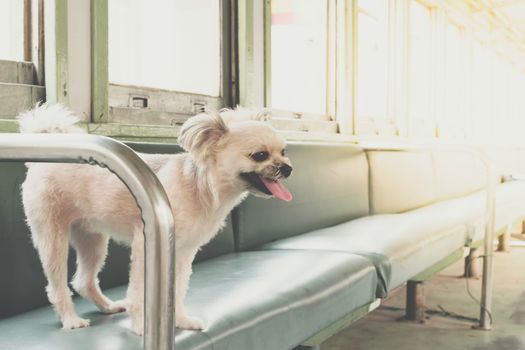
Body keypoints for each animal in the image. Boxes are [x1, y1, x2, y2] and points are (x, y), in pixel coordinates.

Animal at [19, 103, 290, 334]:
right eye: (259, 155)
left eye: (283, 151)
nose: (288, 168)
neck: (199, 186)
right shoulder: (146, 245)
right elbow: (140, 291)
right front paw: (141, 325)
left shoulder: (181, 252)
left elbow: (177, 290)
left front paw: (180, 320)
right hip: (52, 239)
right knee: (57, 285)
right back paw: (71, 320)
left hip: (92, 240)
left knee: (84, 280)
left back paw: (107, 307)